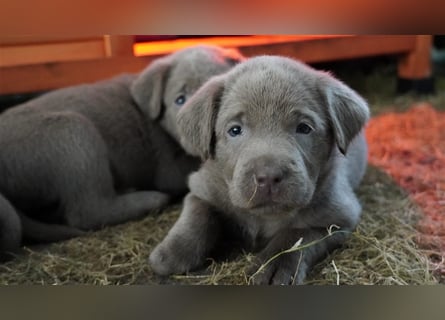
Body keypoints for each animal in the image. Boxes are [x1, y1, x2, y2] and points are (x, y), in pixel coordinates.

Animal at [149, 55, 368, 284]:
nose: (269, 177)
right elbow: (198, 213)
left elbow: (296, 235)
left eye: (304, 128)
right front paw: (172, 253)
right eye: (235, 130)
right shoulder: (203, 186)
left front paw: (272, 269)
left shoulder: (338, 217)